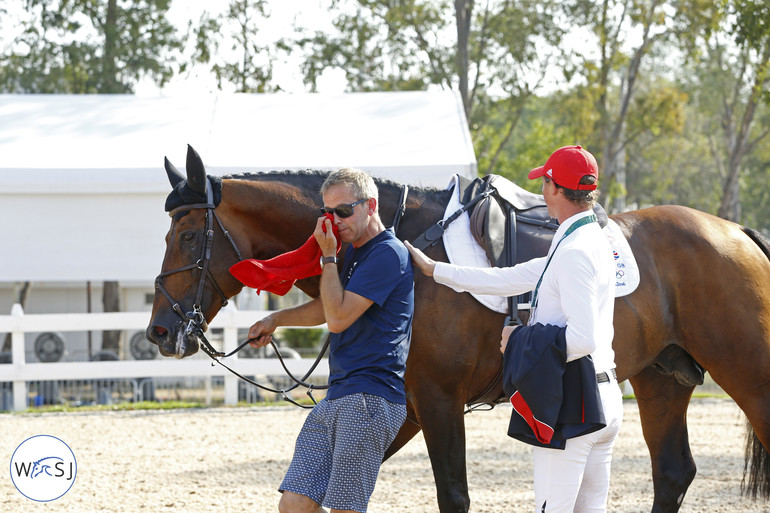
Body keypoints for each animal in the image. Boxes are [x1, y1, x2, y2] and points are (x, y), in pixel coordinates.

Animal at [147, 145, 768, 512]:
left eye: (188, 236)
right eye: (167, 233)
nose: (159, 331)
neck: (399, 240)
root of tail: (736, 230)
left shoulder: (440, 401)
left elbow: (454, 495)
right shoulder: (408, 406)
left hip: (749, 377)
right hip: (662, 380)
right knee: (672, 472)